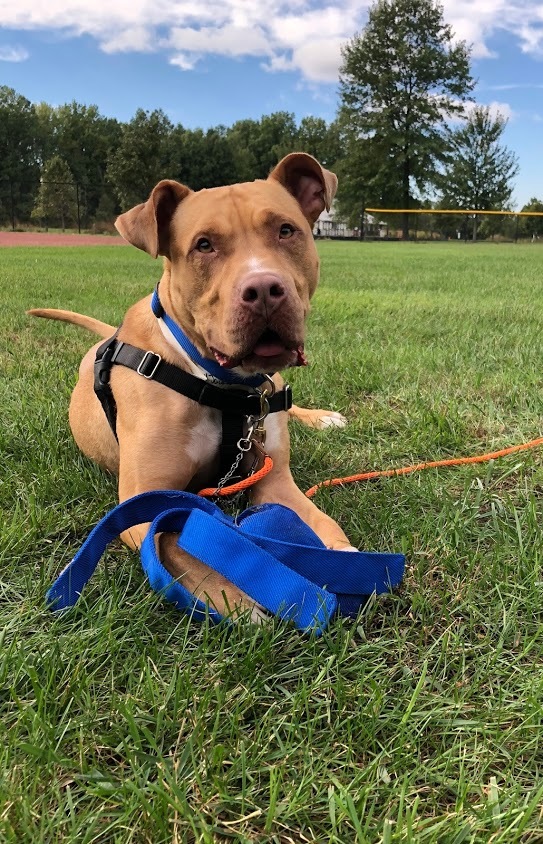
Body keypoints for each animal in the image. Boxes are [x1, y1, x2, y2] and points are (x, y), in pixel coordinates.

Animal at [29, 152, 354, 620]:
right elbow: (172, 543)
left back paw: (322, 417)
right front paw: (236, 597)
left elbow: (322, 523)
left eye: (286, 230)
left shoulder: (275, 479)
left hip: (275, 390)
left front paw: (346, 560)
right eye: (204, 245)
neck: (219, 383)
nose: (264, 288)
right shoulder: (141, 501)